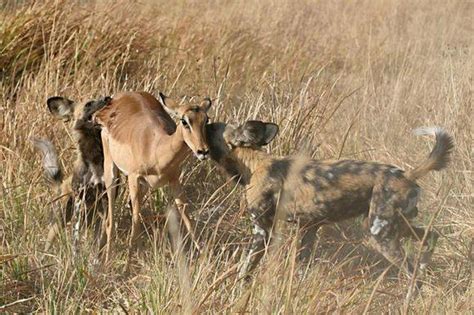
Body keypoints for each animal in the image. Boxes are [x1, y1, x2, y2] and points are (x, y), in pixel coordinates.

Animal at [33, 95, 111, 254]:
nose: (107, 98)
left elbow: (100, 241)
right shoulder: (79, 202)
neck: (95, 159)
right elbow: (76, 240)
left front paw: (96, 259)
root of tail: (62, 184)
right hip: (61, 218)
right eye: (88, 104)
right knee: (49, 240)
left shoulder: (105, 202)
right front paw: (76, 257)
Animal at [93, 92, 211, 266]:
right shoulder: (134, 178)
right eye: (184, 121)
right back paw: (106, 259)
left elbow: (188, 219)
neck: (155, 148)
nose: (203, 151)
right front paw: (127, 266)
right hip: (112, 172)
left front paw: (205, 259)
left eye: (206, 119)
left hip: (143, 186)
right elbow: (135, 223)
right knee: (110, 220)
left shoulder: (174, 181)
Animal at [207, 121, 456, 284]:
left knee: (413, 276)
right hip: (395, 224)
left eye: (212, 128)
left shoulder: (262, 232)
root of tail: (407, 174)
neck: (254, 163)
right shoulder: (309, 228)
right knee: (431, 236)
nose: (207, 121)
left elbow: (244, 269)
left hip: (381, 234)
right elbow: (301, 267)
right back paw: (424, 266)